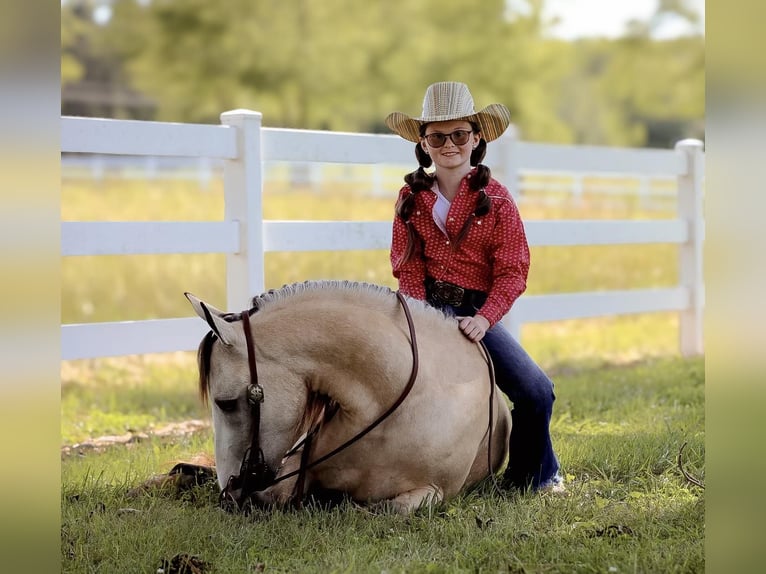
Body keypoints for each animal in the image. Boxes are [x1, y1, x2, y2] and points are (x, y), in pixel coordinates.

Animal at [184, 282, 512, 516]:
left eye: (226, 403)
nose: (229, 491)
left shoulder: (435, 490)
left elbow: (392, 508)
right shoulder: (294, 471)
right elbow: (274, 496)